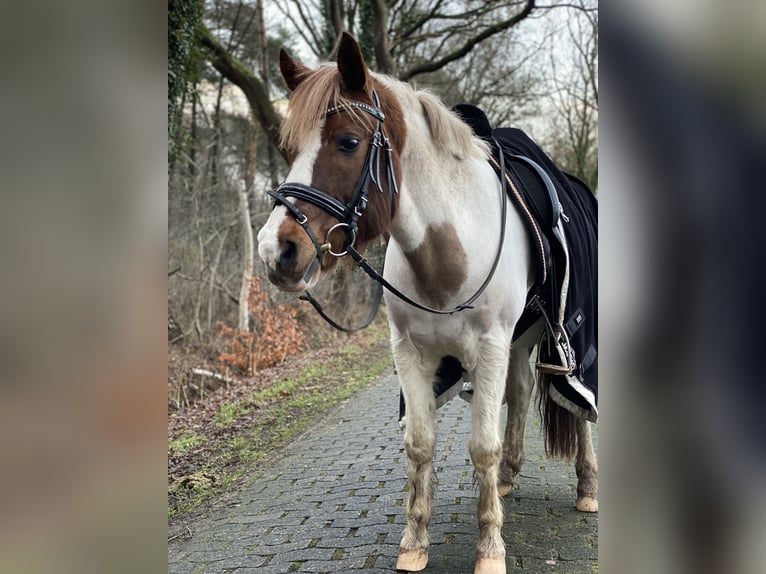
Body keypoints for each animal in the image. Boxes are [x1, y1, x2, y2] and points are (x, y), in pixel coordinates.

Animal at [258, 33, 600, 574]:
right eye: (288, 149)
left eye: (348, 142)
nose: (276, 250)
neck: (449, 255)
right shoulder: (412, 355)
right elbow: (420, 445)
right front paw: (414, 542)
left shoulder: (489, 349)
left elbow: (482, 445)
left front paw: (490, 549)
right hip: (520, 339)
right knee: (523, 390)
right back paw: (509, 478)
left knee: (580, 405)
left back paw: (587, 486)